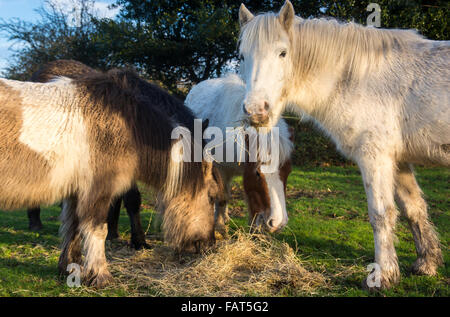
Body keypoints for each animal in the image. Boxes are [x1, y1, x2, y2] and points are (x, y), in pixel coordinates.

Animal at [0, 68, 224, 286]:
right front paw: (100, 276)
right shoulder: (98, 190)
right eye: (211, 197)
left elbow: (72, 228)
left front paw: (70, 269)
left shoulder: (76, 193)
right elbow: (98, 229)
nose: (210, 244)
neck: (127, 126)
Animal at [237, 1, 448, 288]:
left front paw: (382, 276)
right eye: (242, 56)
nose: (256, 112)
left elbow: (380, 214)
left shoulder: (374, 157)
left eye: (282, 53)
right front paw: (426, 264)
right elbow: (413, 208)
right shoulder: (399, 160)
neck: (359, 80)